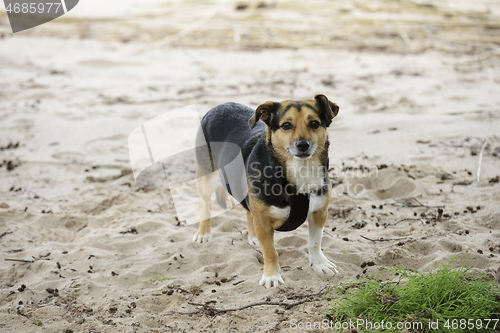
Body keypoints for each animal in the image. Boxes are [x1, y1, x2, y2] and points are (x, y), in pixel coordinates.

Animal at [191, 94, 340, 286]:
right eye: (286, 125)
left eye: (314, 123)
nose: (303, 145)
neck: (301, 171)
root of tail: (221, 105)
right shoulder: (263, 222)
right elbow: (270, 252)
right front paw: (271, 276)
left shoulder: (319, 213)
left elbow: (315, 242)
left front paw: (320, 264)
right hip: (206, 178)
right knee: (205, 204)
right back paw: (203, 233)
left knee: (248, 211)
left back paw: (253, 237)